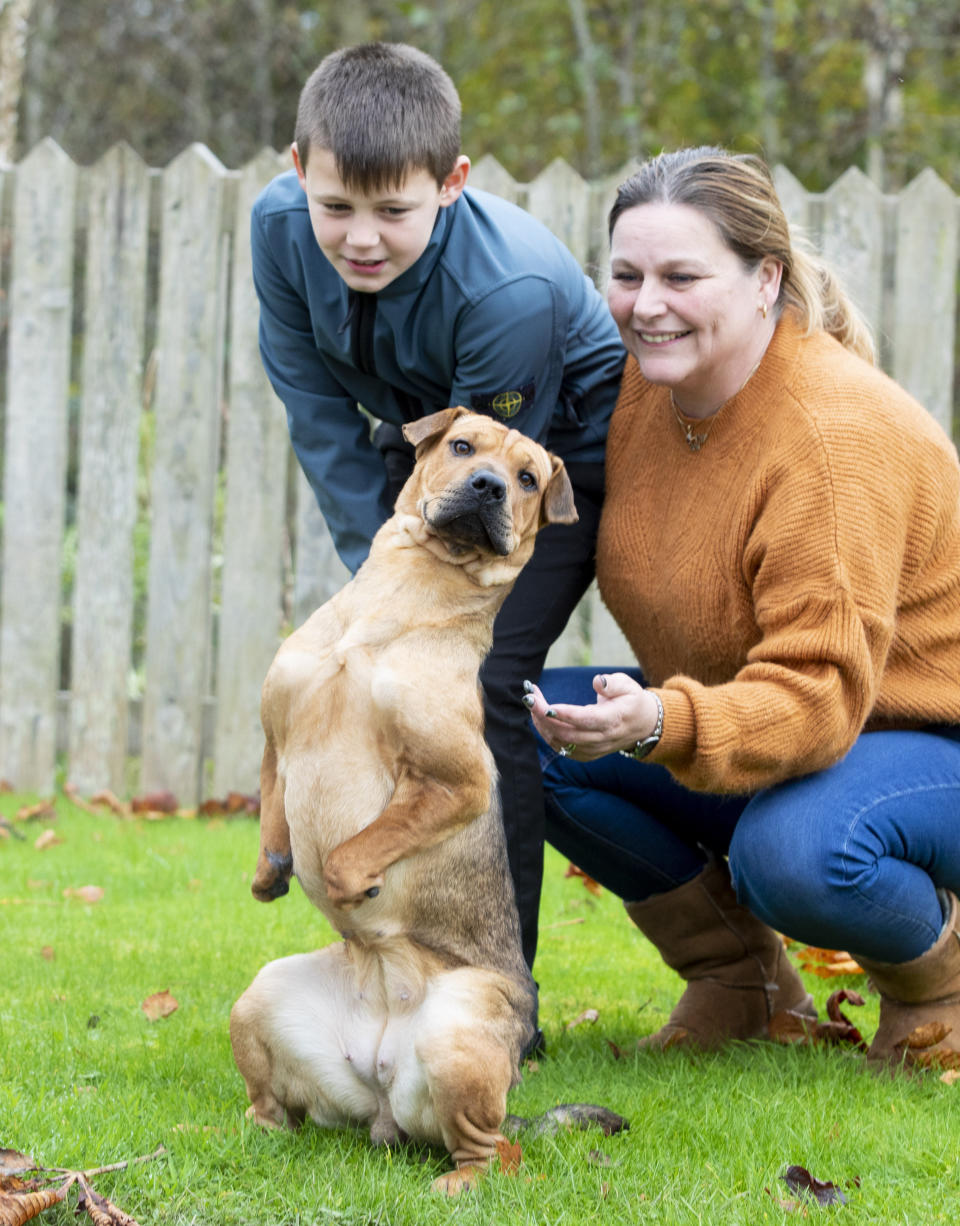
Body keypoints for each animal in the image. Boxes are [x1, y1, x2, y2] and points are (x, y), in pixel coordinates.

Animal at [232, 407, 578, 1191]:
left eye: (528, 478)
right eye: (462, 446)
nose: (487, 486)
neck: (403, 602)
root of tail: (382, 1087)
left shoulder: (458, 780)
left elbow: (356, 847)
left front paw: (350, 882)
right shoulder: (276, 740)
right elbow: (272, 811)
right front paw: (270, 874)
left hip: (457, 1041)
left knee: (495, 1151)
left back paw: (460, 1182)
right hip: (256, 1001)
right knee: (276, 1109)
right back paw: (246, 1134)